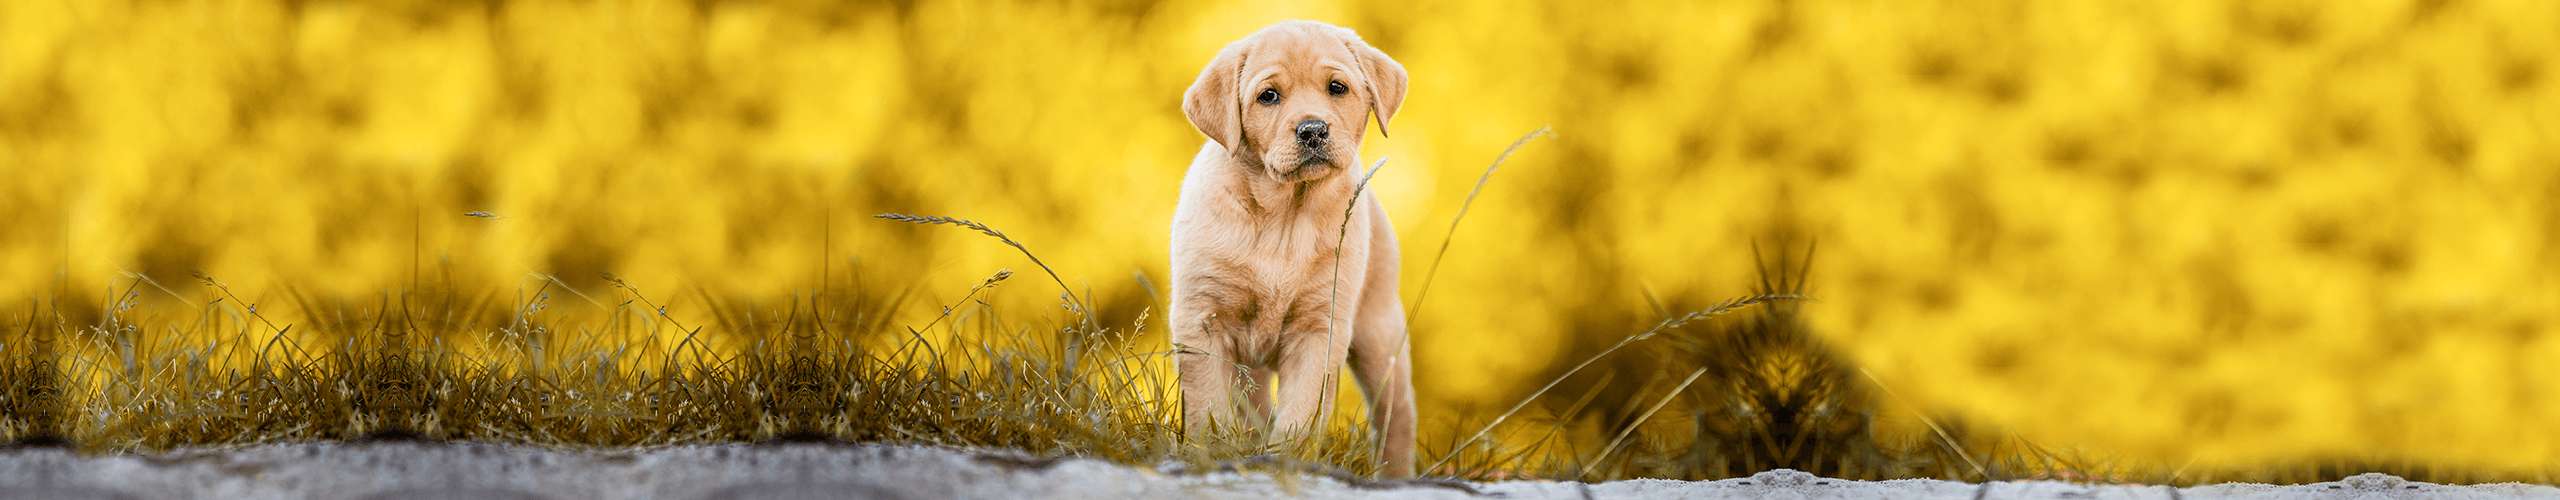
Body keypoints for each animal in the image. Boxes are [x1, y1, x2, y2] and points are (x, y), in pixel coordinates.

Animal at [1167, 21, 1423, 476]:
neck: (1284, 217)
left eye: (1337, 87)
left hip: (1380, 336)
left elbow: (1300, 412)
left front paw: (1287, 460)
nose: (1313, 130)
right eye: (1268, 96)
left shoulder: (1319, 330)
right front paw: (1208, 452)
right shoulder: (1202, 321)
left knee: (1396, 419)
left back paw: (1395, 474)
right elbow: (1206, 403)